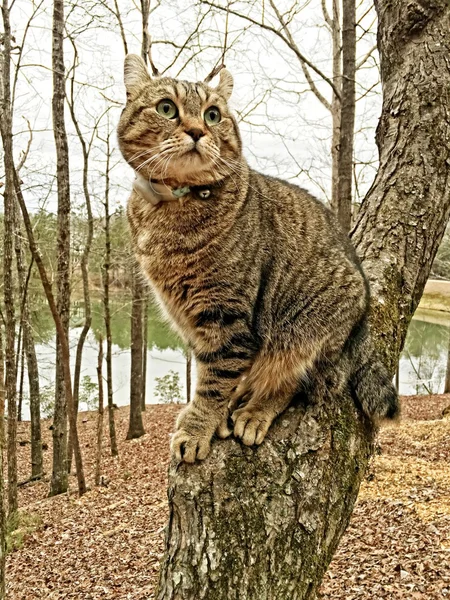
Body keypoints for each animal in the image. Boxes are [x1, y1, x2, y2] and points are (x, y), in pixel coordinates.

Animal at [117, 54, 398, 464]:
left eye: (213, 115)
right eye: (166, 108)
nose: (197, 131)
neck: (172, 209)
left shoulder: (225, 316)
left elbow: (214, 382)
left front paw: (197, 428)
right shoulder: (192, 320)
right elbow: (212, 375)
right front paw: (214, 416)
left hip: (300, 332)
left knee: (292, 382)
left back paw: (255, 412)